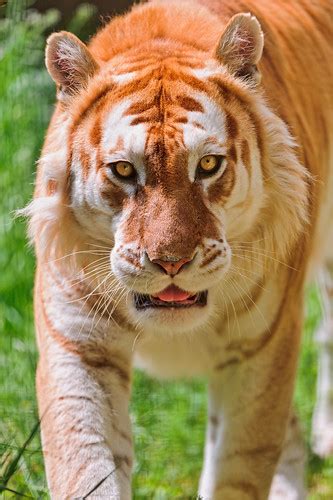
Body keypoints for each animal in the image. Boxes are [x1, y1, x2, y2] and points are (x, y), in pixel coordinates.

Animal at [24, 0, 332, 496]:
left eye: (207, 164)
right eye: (124, 170)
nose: (171, 262)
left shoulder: (260, 350)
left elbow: (236, 469)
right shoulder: (78, 345)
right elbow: (87, 468)